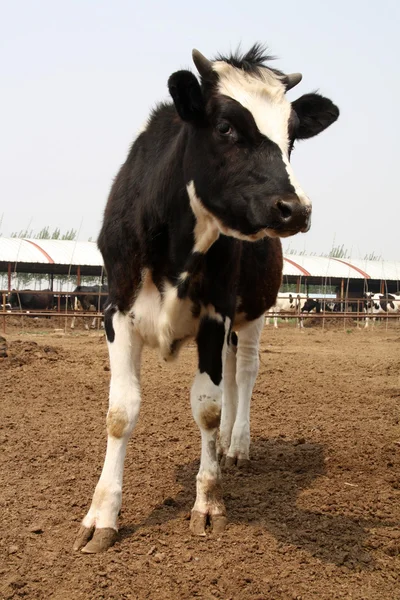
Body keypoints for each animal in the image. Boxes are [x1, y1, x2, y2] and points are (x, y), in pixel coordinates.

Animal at [73, 42, 340, 552]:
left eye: (292, 135)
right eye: (225, 127)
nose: (295, 208)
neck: (176, 248)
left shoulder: (217, 315)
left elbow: (208, 408)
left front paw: (209, 502)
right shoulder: (115, 311)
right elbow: (120, 412)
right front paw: (101, 516)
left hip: (254, 312)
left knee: (245, 373)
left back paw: (236, 446)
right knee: (233, 374)